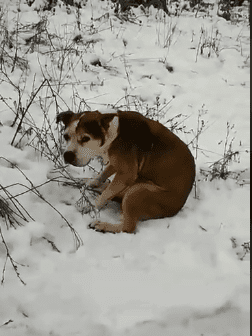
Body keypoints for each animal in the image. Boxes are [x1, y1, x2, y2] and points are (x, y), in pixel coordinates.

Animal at [56, 110, 196, 234]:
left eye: (86, 138)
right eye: (65, 136)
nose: (67, 155)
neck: (113, 133)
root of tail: (177, 208)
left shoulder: (126, 174)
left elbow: (105, 195)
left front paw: (91, 207)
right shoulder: (115, 164)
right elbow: (104, 174)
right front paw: (92, 182)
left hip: (137, 192)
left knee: (128, 228)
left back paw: (103, 225)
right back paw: (80, 182)